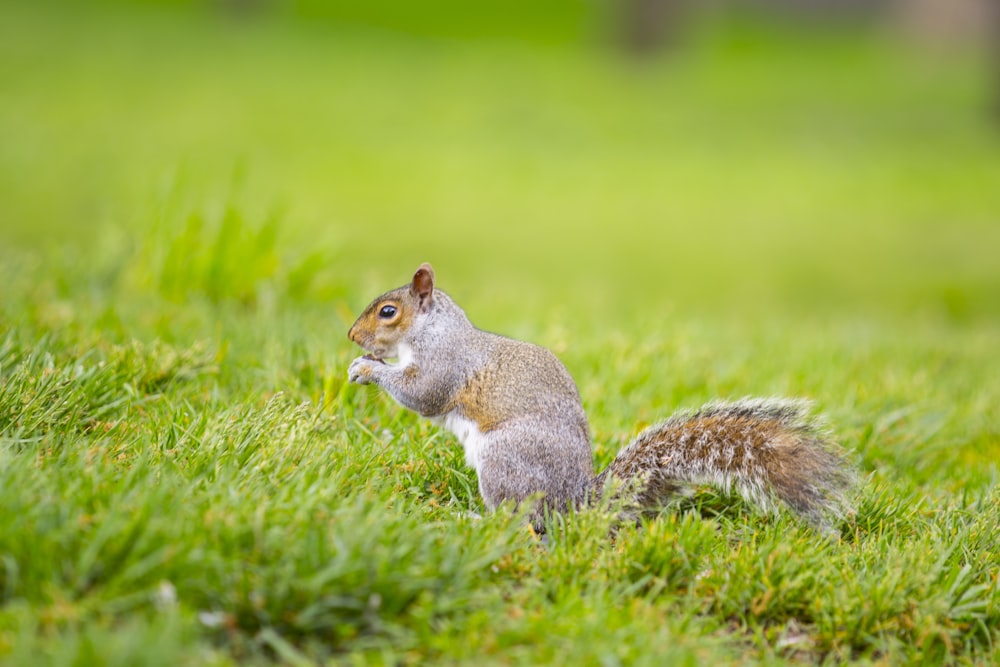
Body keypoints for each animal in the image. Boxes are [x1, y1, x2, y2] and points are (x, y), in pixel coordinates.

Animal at [348, 264, 856, 536]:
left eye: (388, 312)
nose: (352, 335)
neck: (433, 328)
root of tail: (575, 503)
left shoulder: (446, 365)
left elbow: (422, 395)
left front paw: (369, 369)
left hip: (505, 460)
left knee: (520, 520)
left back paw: (476, 519)